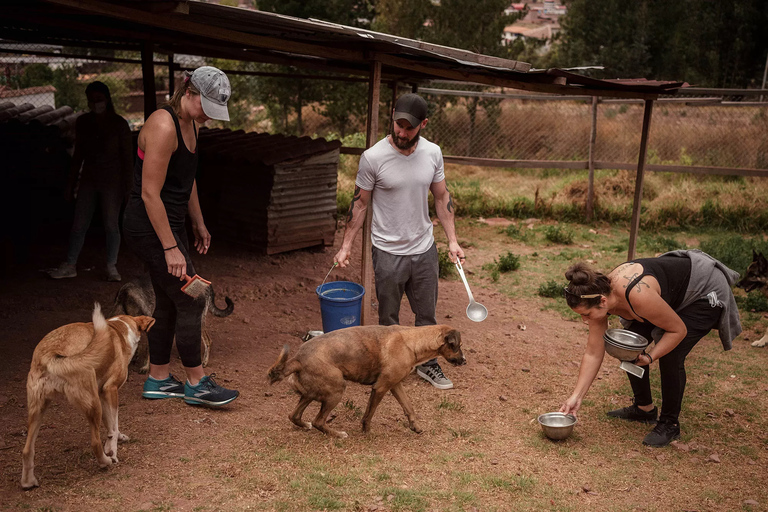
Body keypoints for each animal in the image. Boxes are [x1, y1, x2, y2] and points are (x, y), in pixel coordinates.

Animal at [20, 302, 154, 490]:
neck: (118, 328)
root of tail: (51, 355)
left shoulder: (102, 393)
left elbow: (111, 424)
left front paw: (117, 439)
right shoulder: (110, 389)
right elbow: (114, 424)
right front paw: (112, 451)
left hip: (38, 409)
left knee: (27, 450)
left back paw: (28, 482)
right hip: (92, 404)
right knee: (95, 443)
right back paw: (105, 462)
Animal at [268, 326, 464, 438]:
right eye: (458, 346)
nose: (464, 361)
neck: (412, 340)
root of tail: (296, 359)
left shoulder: (395, 385)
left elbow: (409, 407)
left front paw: (415, 426)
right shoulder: (380, 387)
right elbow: (369, 414)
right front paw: (367, 431)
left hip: (311, 394)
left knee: (294, 416)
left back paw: (306, 425)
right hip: (336, 390)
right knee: (318, 421)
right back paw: (338, 435)